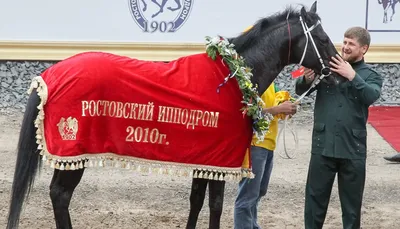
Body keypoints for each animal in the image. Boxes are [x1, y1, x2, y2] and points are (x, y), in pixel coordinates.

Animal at [6, 0, 340, 228]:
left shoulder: (205, 158)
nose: (338, 75)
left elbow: (196, 201)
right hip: (72, 153)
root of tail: (50, 74)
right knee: (60, 194)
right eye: (323, 39)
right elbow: (216, 205)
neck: (233, 77)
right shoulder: (222, 160)